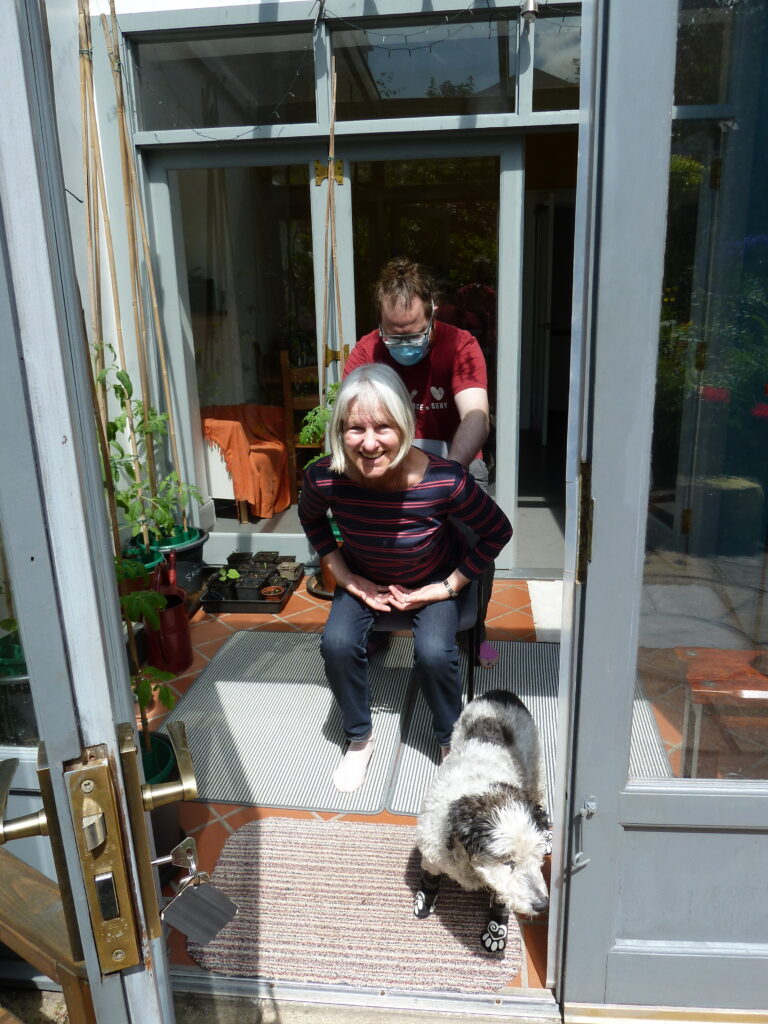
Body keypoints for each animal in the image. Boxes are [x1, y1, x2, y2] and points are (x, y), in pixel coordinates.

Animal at [415, 688, 552, 950]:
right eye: (508, 861)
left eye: (537, 857)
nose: (542, 904)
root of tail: (501, 693)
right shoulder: (431, 852)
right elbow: (430, 876)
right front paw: (424, 900)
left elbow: (500, 898)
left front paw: (496, 931)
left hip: (534, 766)